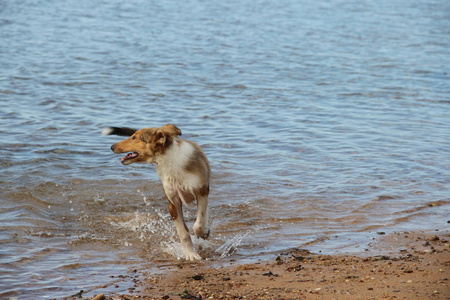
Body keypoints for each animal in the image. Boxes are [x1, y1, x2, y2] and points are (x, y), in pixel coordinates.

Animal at [103, 123, 211, 260]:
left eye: (134, 137)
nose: (111, 147)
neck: (169, 160)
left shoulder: (201, 191)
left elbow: (199, 222)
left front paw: (202, 234)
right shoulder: (173, 202)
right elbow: (183, 233)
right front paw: (191, 254)